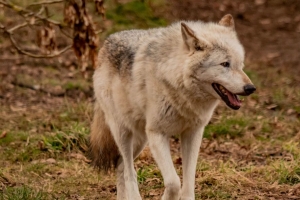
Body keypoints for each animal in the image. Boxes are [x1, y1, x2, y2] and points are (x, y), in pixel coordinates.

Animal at [90, 14, 256, 200]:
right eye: (225, 64)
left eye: (240, 64)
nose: (251, 88)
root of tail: (106, 42)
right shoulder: (158, 134)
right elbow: (174, 182)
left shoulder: (193, 133)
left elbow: (189, 181)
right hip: (124, 133)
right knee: (128, 170)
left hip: (141, 139)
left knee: (120, 166)